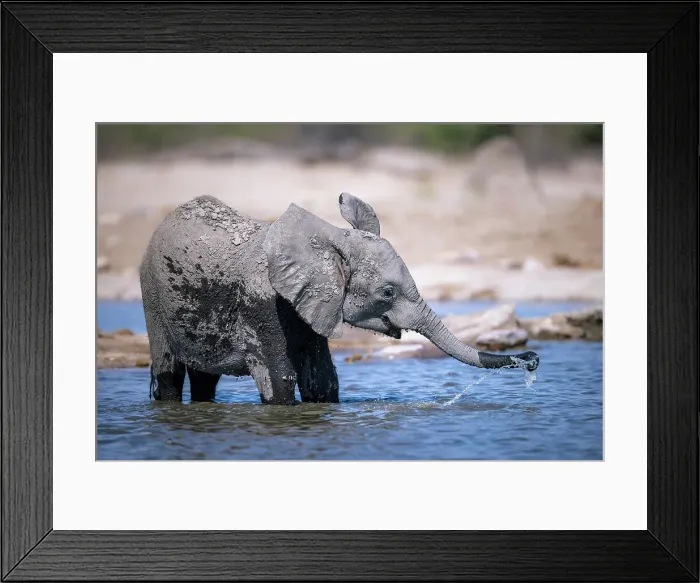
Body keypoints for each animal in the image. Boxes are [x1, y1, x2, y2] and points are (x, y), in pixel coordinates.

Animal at [139, 193, 539, 405]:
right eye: (388, 292)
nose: (533, 359)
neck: (328, 240)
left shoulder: (315, 305)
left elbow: (323, 380)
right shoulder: (263, 306)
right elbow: (279, 379)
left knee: (204, 379)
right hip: (152, 296)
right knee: (169, 374)